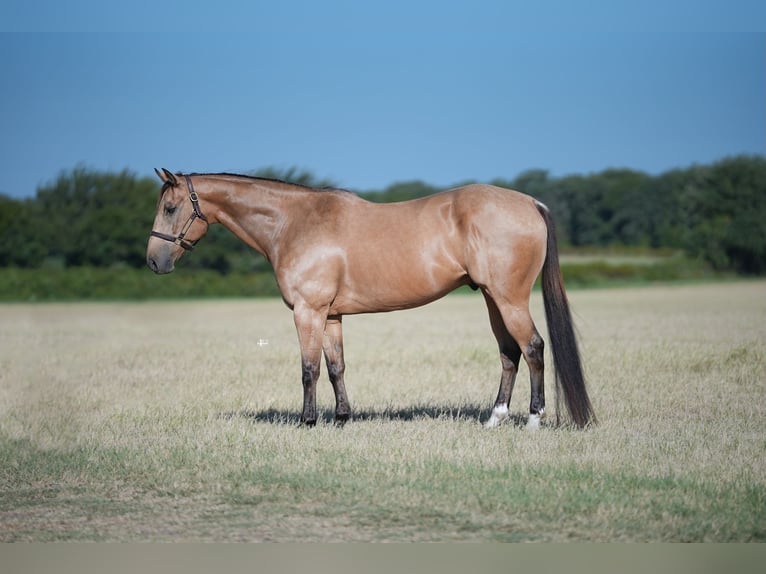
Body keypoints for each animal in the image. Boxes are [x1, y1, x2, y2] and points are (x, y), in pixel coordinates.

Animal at [146, 169, 600, 430]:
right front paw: (342, 419)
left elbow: (309, 369)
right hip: (492, 299)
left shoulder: (308, 313)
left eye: (170, 207)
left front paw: (307, 422)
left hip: (509, 299)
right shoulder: (330, 316)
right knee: (509, 352)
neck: (294, 223)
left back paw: (534, 420)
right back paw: (494, 419)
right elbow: (336, 368)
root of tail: (530, 202)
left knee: (533, 347)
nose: (154, 261)